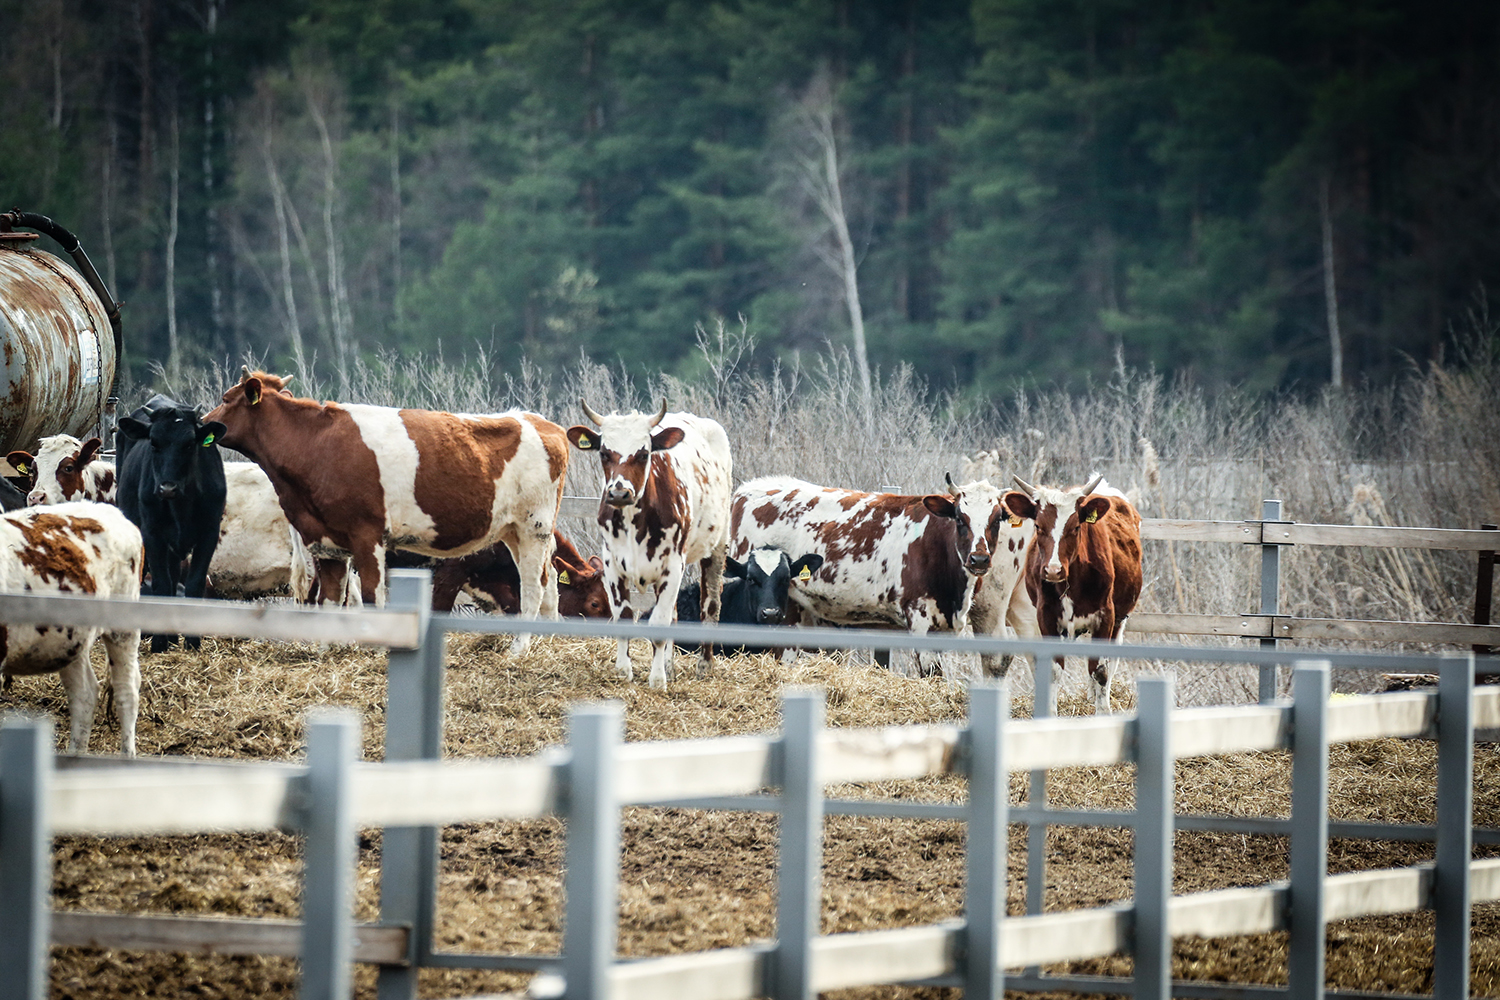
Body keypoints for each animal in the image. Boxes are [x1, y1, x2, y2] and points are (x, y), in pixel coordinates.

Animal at [117, 401, 228, 652]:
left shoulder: (209, 533)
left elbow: (195, 584)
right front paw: (159, 642)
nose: (167, 488)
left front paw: (192, 641)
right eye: (153, 443)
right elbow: (161, 584)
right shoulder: (152, 534)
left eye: (189, 444)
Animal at [203, 371, 569, 655]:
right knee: (547, 586)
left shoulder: (368, 536)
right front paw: (325, 649)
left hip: (534, 527)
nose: (202, 422)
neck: (315, 445)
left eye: (225, 397)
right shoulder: (326, 541)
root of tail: (539, 421)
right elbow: (329, 599)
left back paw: (519, 649)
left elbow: (370, 596)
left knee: (534, 588)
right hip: (513, 532)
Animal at [567, 398, 732, 689]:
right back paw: (669, 666)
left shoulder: (674, 564)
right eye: (604, 453)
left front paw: (657, 680)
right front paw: (624, 671)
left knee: (710, 604)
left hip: (716, 547)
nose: (619, 493)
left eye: (644, 454)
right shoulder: (612, 565)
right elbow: (625, 617)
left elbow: (659, 623)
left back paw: (704, 666)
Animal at [1003, 473, 1143, 714]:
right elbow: (1053, 669)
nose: (1053, 570)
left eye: (1076, 527)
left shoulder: (1106, 617)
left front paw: (1103, 711)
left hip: (1120, 620)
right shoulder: (1046, 617)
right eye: (1038, 526)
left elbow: (1101, 670)